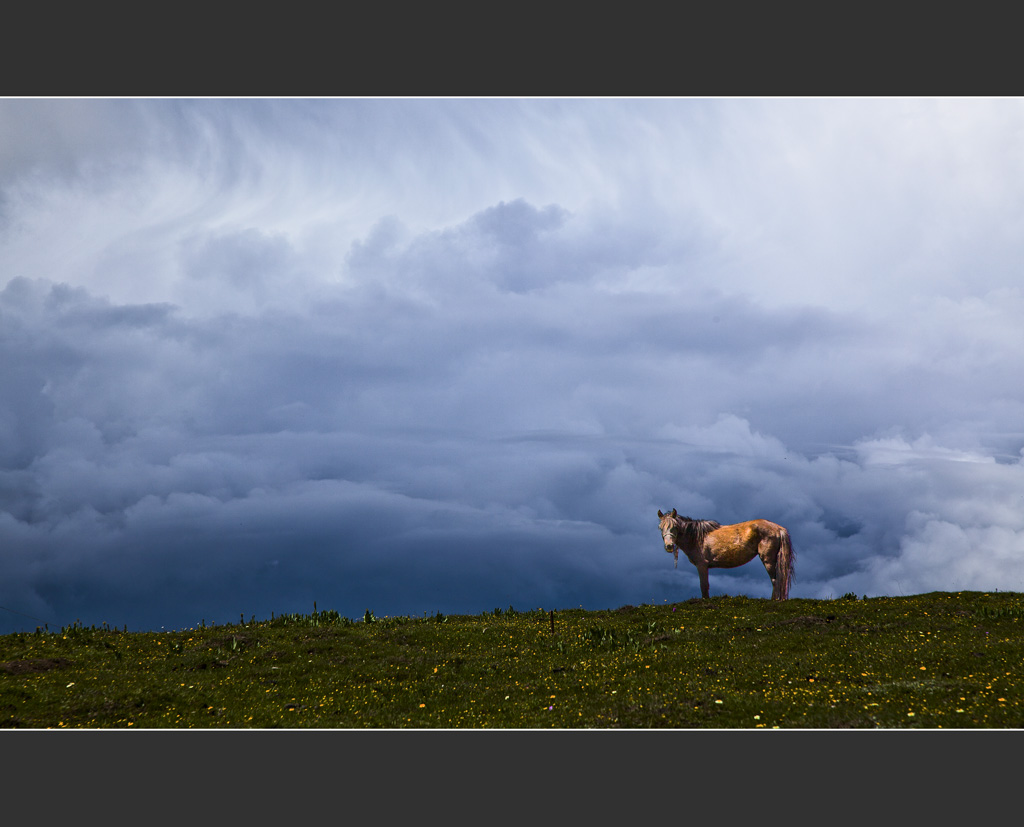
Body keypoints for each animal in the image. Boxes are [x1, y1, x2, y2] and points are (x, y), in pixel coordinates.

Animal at [659, 503, 794, 601]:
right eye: (660, 528)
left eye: (675, 527)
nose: (669, 546)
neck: (697, 538)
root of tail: (778, 528)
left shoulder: (702, 565)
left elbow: (704, 586)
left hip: (768, 560)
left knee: (775, 580)